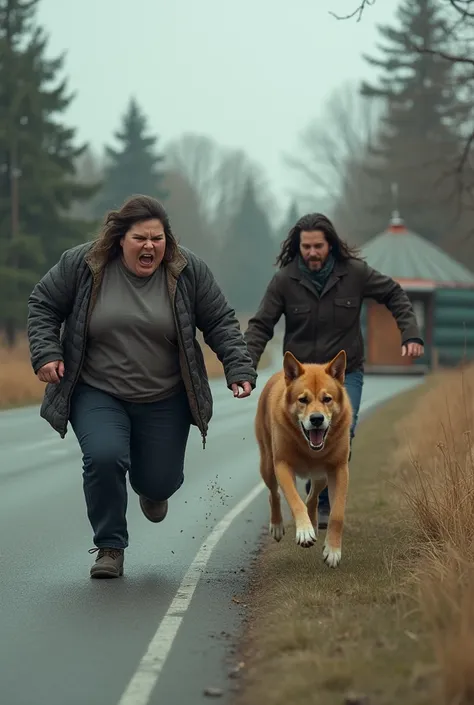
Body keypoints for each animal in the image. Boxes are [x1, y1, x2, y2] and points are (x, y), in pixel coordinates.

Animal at [256, 350, 352, 568]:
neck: (310, 448)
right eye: (303, 400)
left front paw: (332, 550)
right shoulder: (282, 465)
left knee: (312, 497)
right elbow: (294, 500)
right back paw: (277, 524)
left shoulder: (339, 468)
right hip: (267, 465)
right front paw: (304, 531)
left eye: (327, 399)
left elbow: (337, 514)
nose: (316, 419)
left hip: (321, 475)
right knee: (273, 493)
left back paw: (313, 520)